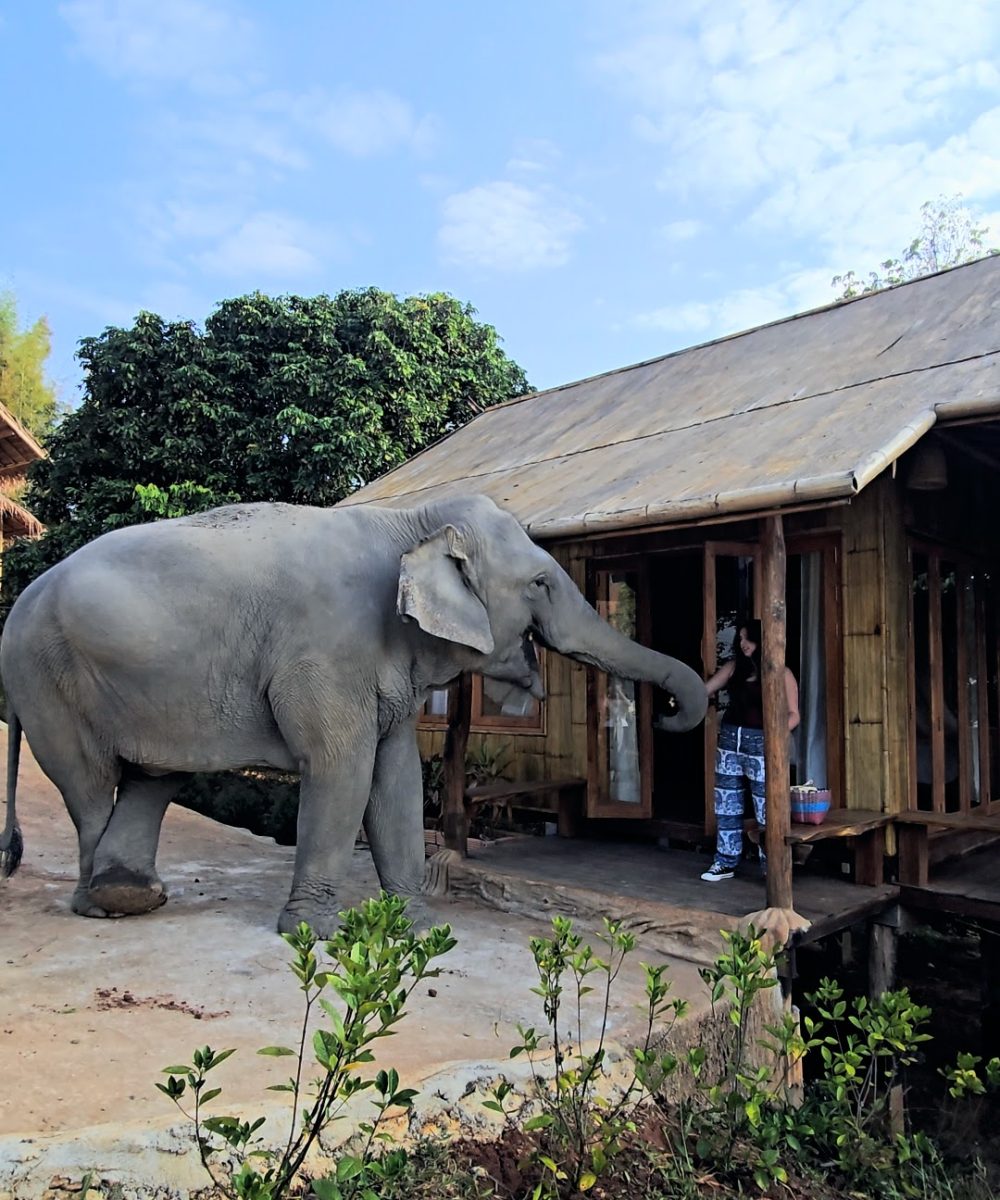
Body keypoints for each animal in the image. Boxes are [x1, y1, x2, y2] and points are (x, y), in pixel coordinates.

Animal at [0, 495, 707, 936]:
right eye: (539, 583)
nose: (669, 718)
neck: (407, 523)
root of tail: (21, 595)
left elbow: (396, 777)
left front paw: (420, 928)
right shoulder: (327, 650)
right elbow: (342, 767)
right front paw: (313, 933)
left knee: (153, 777)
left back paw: (136, 896)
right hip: (49, 675)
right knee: (91, 785)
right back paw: (105, 905)